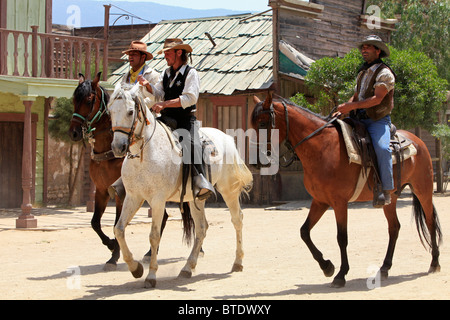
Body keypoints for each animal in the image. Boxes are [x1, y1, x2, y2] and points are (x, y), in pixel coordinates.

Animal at [106, 84, 253, 288]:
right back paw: (187, 268)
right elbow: (119, 230)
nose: (118, 147)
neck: (147, 153)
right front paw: (135, 268)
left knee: (237, 219)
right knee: (201, 228)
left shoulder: (158, 201)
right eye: (110, 111)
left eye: (130, 111)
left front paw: (151, 275)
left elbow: (154, 235)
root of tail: (227, 138)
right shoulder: (133, 197)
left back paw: (237, 262)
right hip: (195, 198)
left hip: (228, 190)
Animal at [251, 92, 442, 288]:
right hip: (391, 198)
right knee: (394, 227)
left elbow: (341, 237)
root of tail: (417, 141)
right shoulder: (320, 201)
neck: (322, 147)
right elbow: (304, 232)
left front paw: (341, 274)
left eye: (263, 123)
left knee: (430, 222)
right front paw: (327, 266)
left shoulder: (339, 203)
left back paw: (434, 263)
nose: (256, 162)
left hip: (423, 190)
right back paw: (384, 268)